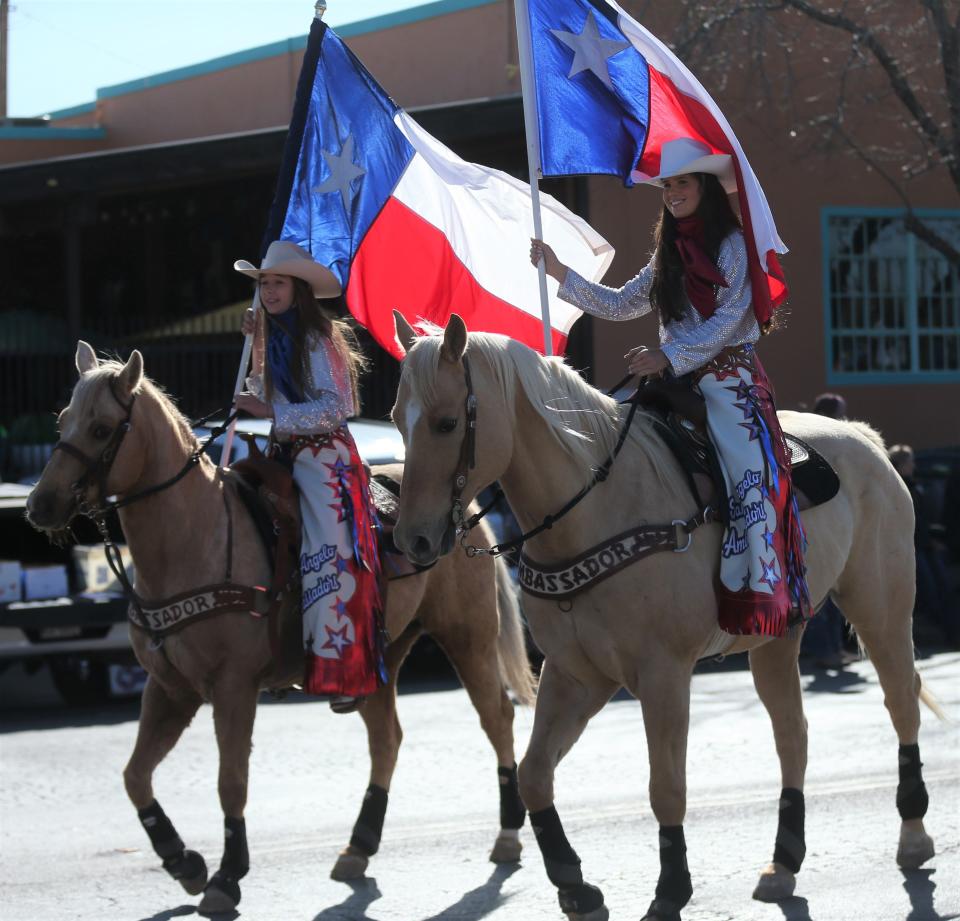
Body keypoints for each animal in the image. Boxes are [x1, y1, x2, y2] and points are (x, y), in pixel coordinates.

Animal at [26, 344, 536, 912]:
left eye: (101, 428)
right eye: (63, 420)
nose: (39, 505)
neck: (196, 538)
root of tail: (463, 507)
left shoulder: (233, 689)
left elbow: (231, 781)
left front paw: (227, 876)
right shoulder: (170, 689)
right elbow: (135, 775)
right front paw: (184, 862)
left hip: (467, 637)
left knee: (496, 719)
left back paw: (507, 835)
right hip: (379, 657)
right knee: (386, 738)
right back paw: (359, 846)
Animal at [390, 314, 936, 920]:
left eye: (445, 422)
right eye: (394, 419)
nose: (412, 540)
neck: (593, 512)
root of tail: (865, 438)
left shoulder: (664, 674)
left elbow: (666, 787)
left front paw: (669, 891)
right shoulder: (577, 675)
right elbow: (535, 776)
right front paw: (575, 886)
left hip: (880, 608)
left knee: (900, 701)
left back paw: (913, 836)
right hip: (777, 638)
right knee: (792, 734)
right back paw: (784, 863)